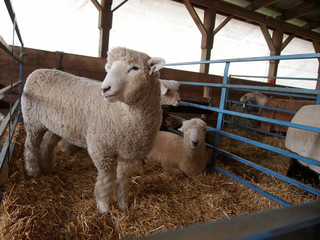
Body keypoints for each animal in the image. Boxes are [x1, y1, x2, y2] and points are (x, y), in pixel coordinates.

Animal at [21, 47, 165, 214]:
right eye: (110, 68)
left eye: (135, 68)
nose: (105, 88)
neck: (123, 112)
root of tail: (38, 71)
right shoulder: (101, 149)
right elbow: (106, 179)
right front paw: (104, 208)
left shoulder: (128, 153)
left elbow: (122, 179)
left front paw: (123, 205)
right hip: (33, 120)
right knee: (31, 145)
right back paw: (32, 171)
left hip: (57, 126)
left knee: (47, 144)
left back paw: (48, 168)